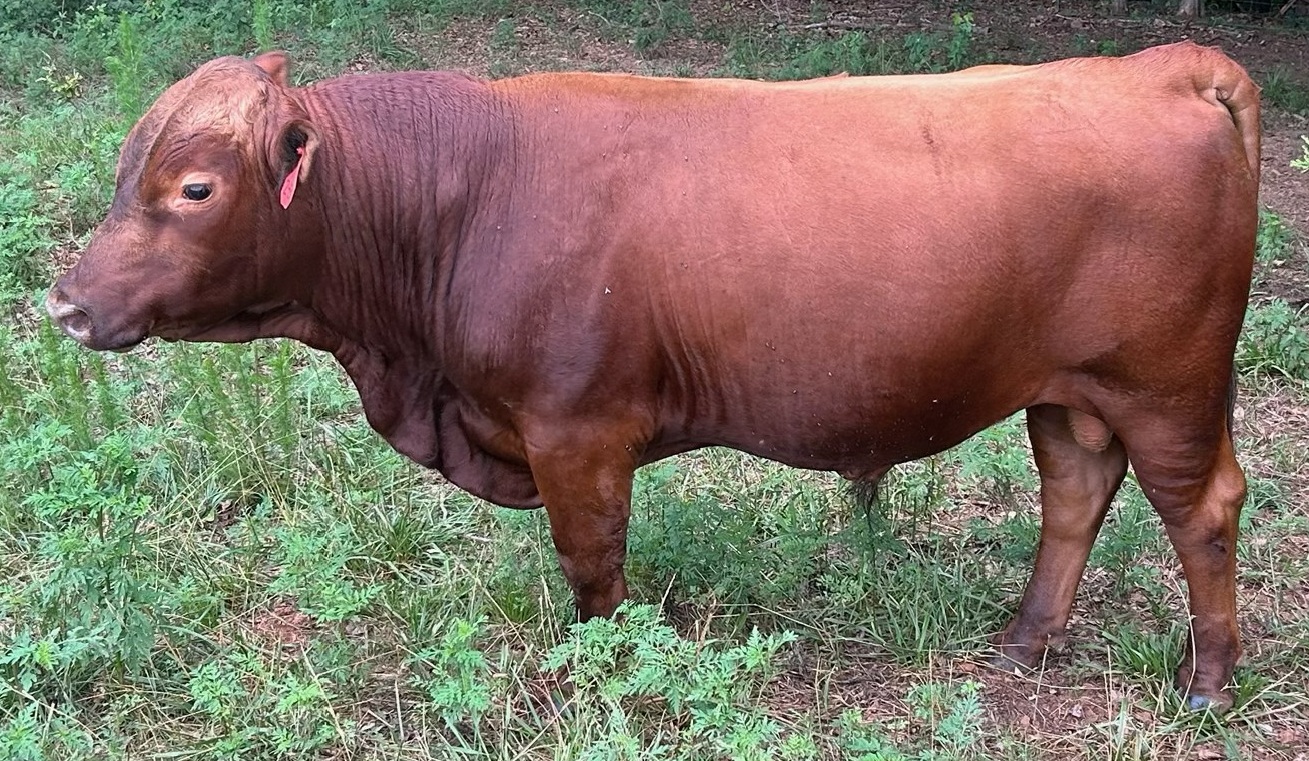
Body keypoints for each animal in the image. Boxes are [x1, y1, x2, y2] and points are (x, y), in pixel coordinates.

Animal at [46, 42, 1260, 711]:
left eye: (194, 188)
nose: (64, 301)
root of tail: (1160, 68)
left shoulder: (574, 430)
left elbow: (593, 569)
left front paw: (597, 673)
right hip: (1064, 388)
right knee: (1074, 491)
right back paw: (1022, 640)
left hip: (1167, 384)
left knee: (1202, 508)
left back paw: (1205, 680)